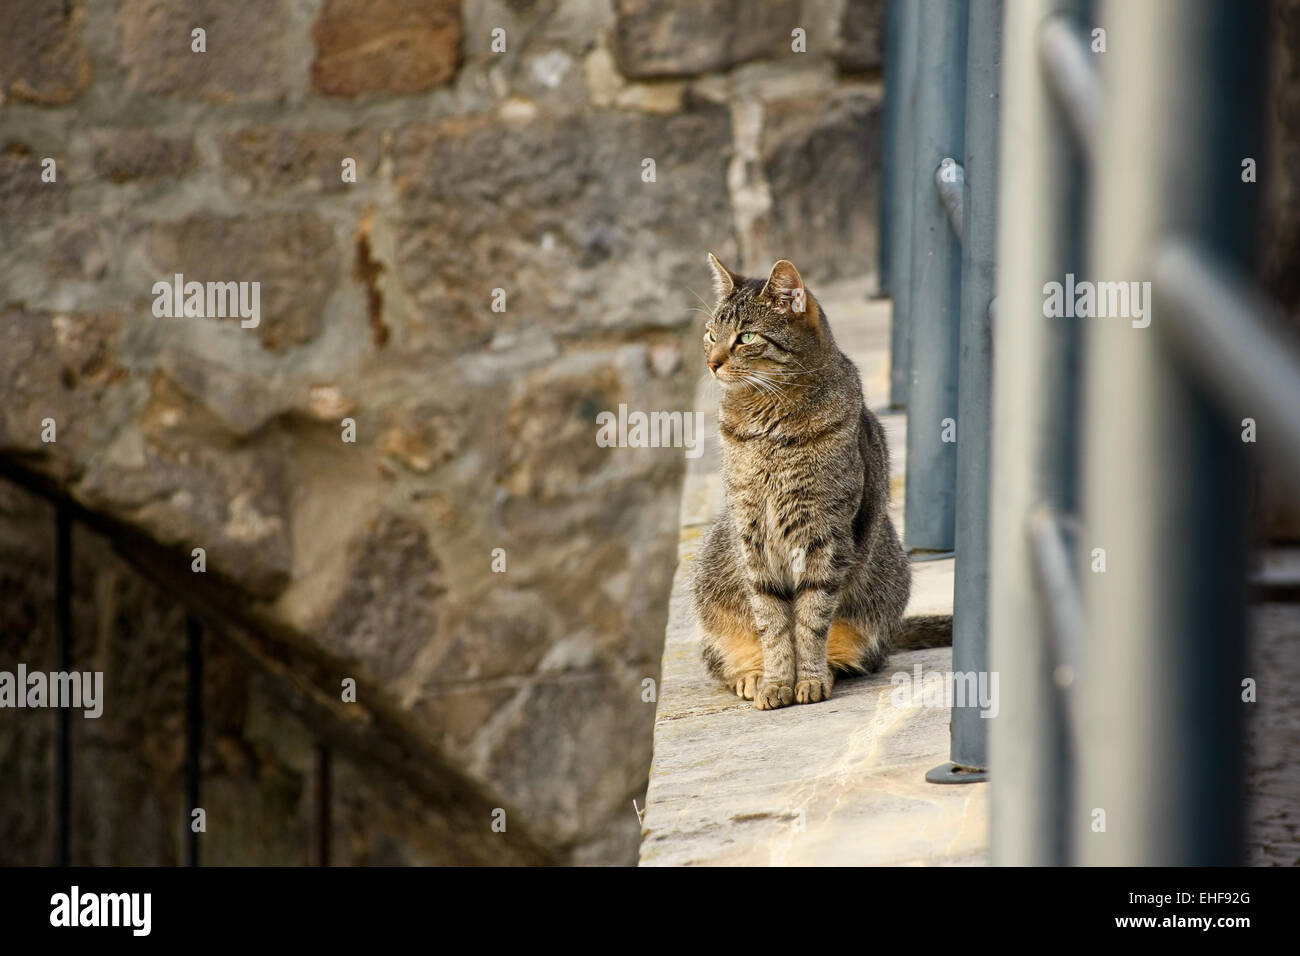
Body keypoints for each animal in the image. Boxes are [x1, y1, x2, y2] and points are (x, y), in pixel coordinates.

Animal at [691, 254, 956, 712]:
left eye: (745, 337)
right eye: (711, 334)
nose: (712, 361)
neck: (767, 427)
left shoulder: (825, 536)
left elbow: (810, 621)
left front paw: (809, 679)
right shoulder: (751, 535)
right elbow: (772, 622)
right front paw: (776, 682)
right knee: (726, 656)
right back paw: (752, 675)